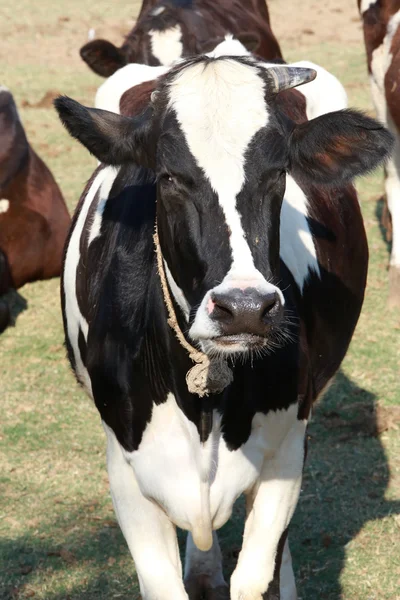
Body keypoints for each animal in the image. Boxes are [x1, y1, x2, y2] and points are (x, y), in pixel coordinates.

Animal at [54, 47, 392, 600]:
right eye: (169, 176)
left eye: (278, 172)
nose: (246, 307)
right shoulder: (126, 467)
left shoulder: (285, 449)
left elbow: (257, 571)